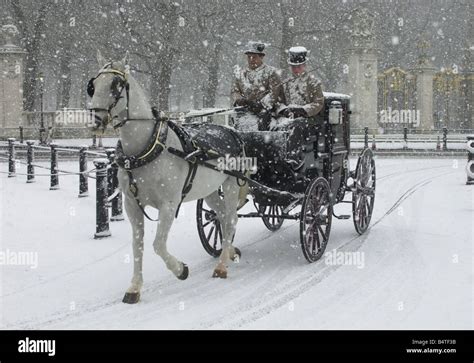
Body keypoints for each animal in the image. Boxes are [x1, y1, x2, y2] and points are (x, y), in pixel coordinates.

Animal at [89, 51, 243, 306]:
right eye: (93, 84)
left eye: (116, 84)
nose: (95, 120)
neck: (147, 148)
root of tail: (232, 131)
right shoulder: (132, 205)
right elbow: (138, 246)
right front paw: (134, 287)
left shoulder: (169, 204)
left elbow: (158, 245)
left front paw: (181, 269)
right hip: (210, 190)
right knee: (221, 216)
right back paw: (228, 251)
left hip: (231, 184)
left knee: (231, 219)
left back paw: (221, 266)